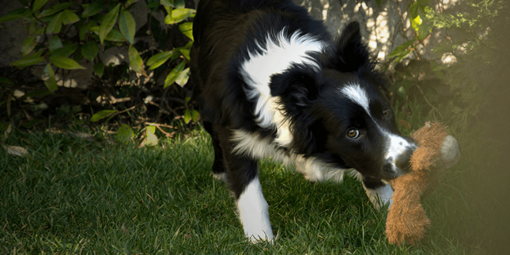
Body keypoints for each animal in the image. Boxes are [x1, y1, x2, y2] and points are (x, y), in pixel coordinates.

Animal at [189, 0, 416, 242]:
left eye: (386, 112)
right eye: (352, 132)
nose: (410, 158)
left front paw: (393, 215)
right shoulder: (233, 132)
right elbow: (250, 194)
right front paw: (261, 241)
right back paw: (219, 173)